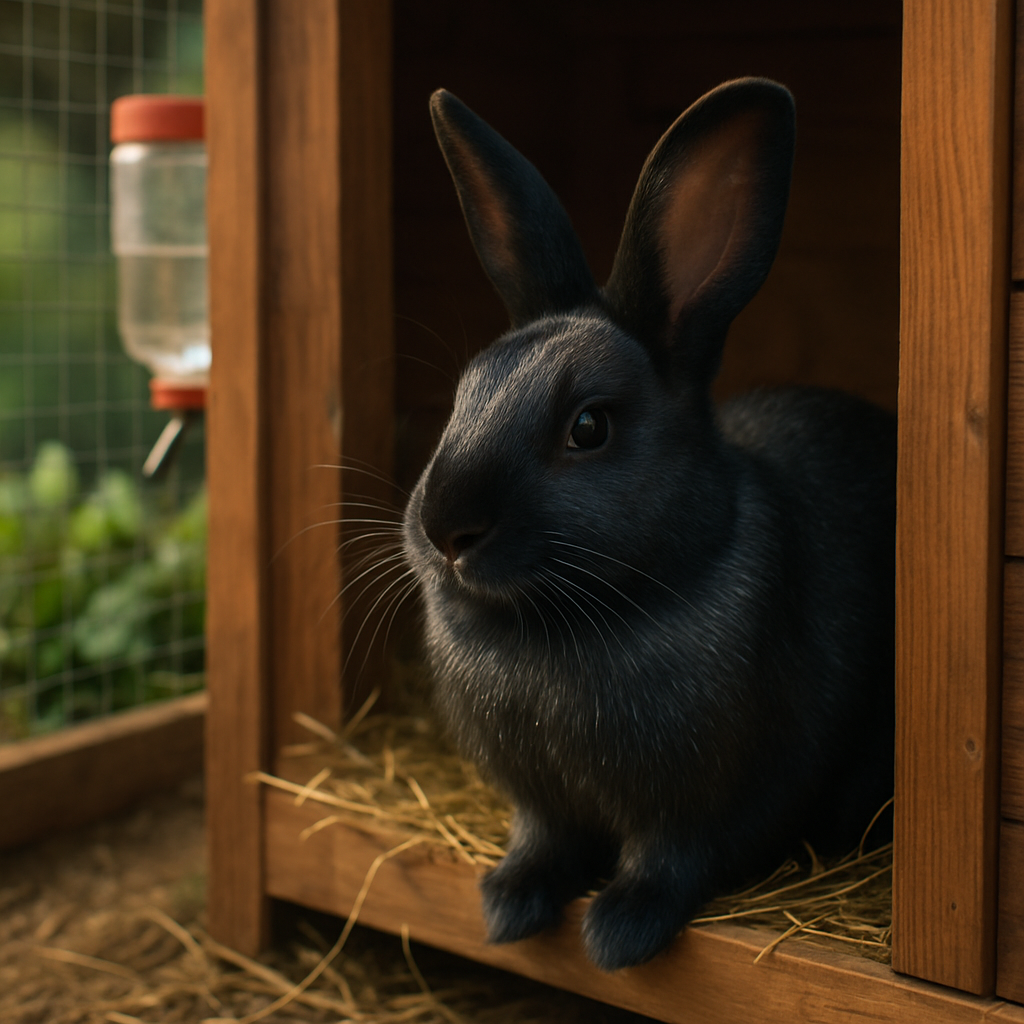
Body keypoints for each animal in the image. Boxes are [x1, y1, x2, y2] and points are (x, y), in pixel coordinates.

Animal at [401, 78, 896, 973]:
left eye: (589, 427)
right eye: (463, 396)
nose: (448, 529)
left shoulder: (713, 802)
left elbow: (674, 859)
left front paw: (618, 934)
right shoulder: (543, 802)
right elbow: (542, 842)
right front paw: (507, 905)